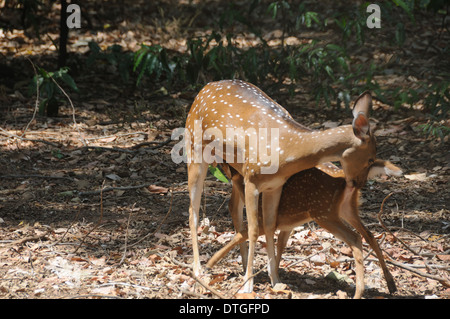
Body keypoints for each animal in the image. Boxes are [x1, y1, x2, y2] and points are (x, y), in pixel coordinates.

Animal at [185, 80, 376, 296]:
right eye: (371, 158)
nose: (360, 185)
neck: (285, 151)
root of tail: (204, 88)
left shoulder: (275, 186)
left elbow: (269, 226)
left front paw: (275, 280)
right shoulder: (252, 178)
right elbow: (254, 229)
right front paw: (248, 285)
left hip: (234, 168)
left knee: (233, 207)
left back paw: (239, 265)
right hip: (195, 149)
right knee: (193, 211)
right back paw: (199, 270)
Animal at [207, 161, 400, 298]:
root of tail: (342, 178)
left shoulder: (264, 220)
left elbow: (240, 235)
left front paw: (210, 263)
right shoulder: (286, 224)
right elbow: (279, 246)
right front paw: (276, 278)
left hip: (323, 212)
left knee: (355, 238)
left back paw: (359, 292)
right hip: (347, 209)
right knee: (370, 235)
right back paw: (390, 284)